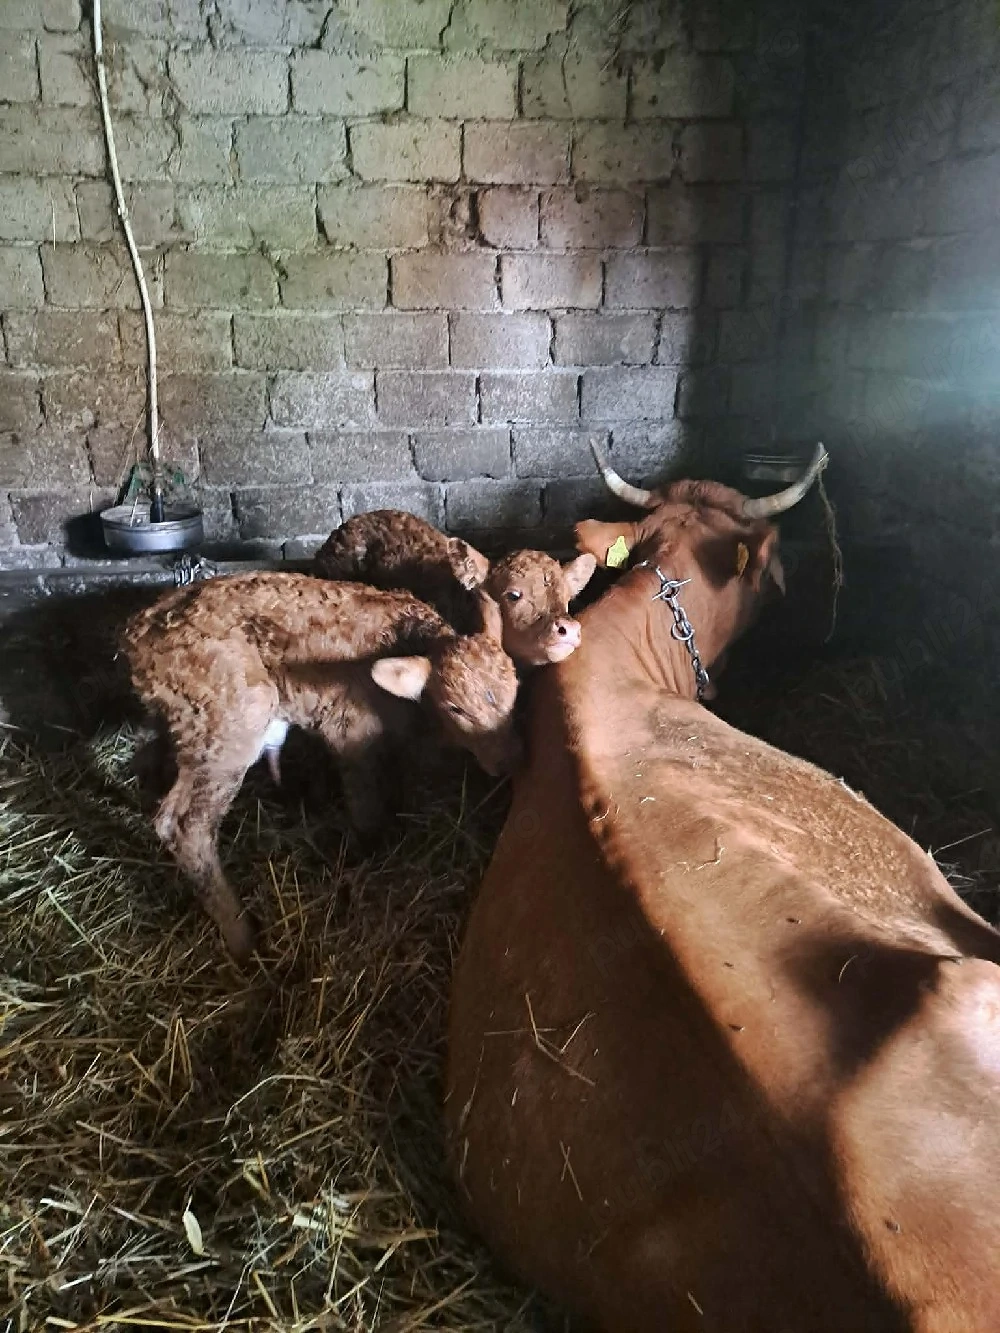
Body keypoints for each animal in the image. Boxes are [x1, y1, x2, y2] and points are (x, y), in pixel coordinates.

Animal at [122, 572, 520, 961]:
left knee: (149, 765)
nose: (507, 761)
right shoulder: (352, 733)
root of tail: (138, 633)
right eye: (455, 708)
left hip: (185, 723)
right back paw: (243, 937)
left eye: (515, 685)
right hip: (229, 725)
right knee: (185, 825)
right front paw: (367, 855)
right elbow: (365, 807)